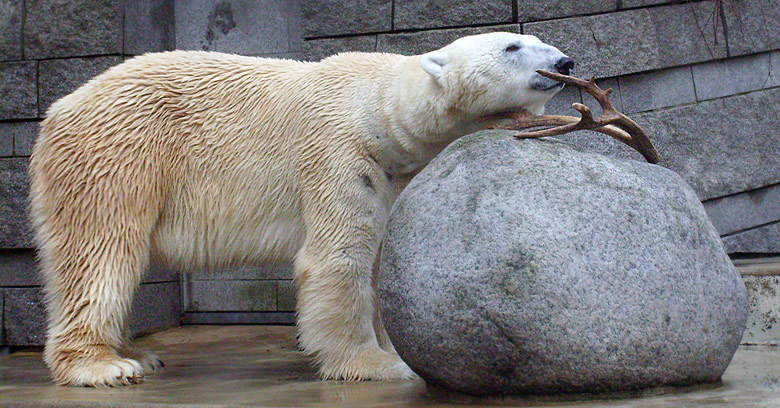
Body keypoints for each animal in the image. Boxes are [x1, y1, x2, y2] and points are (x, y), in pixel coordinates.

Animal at [29, 31, 572, 386]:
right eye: (512, 46)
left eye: (539, 39)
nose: (565, 63)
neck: (378, 108)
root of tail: (57, 111)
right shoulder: (340, 153)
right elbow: (338, 259)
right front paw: (378, 363)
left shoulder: (394, 175)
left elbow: (379, 261)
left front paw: (392, 345)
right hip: (120, 154)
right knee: (101, 252)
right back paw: (103, 365)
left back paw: (139, 353)